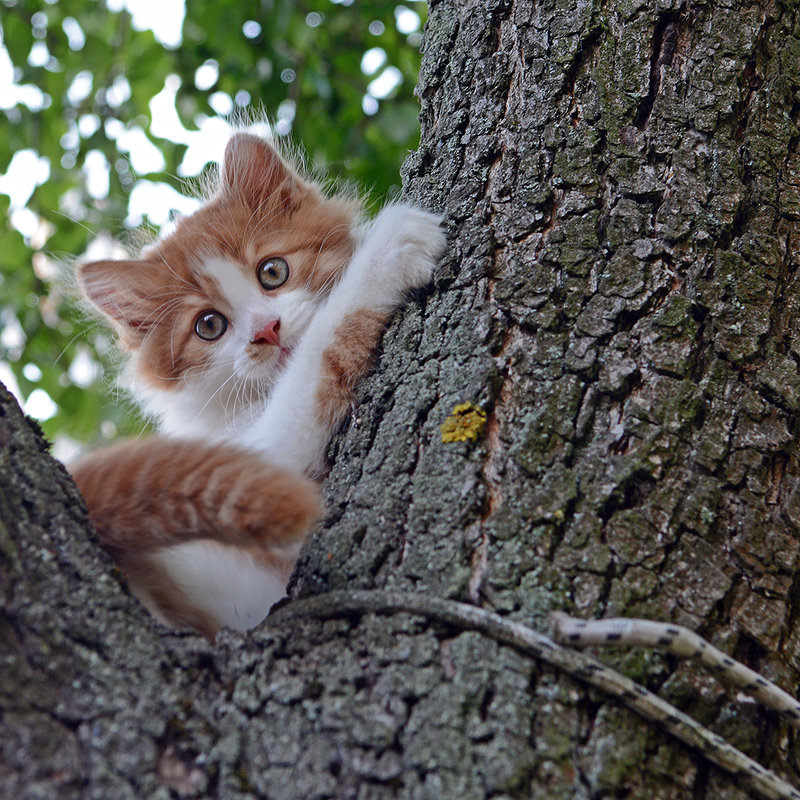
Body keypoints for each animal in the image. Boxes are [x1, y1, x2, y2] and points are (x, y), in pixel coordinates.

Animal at [71, 134, 446, 640]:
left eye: (272, 271)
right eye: (209, 325)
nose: (266, 330)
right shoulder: (260, 456)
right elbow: (321, 343)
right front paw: (390, 243)